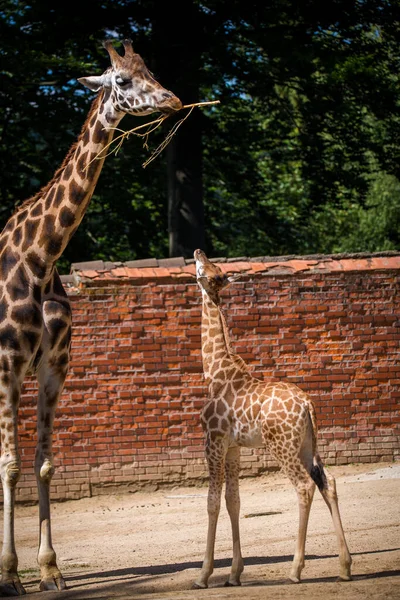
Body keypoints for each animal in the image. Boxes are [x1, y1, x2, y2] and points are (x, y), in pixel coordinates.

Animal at [0, 38, 181, 596]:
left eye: (149, 69)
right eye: (121, 80)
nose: (172, 100)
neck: (41, 257)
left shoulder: (53, 366)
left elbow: (43, 464)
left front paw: (49, 569)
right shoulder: (7, 365)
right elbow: (10, 466)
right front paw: (9, 576)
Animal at [192, 250, 352, 592]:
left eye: (210, 271)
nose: (198, 252)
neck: (215, 370)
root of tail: (307, 404)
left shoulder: (213, 441)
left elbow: (212, 501)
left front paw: (203, 575)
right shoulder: (234, 447)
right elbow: (233, 501)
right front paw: (234, 574)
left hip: (282, 445)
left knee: (305, 486)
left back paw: (295, 570)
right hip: (307, 445)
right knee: (328, 482)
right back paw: (345, 567)